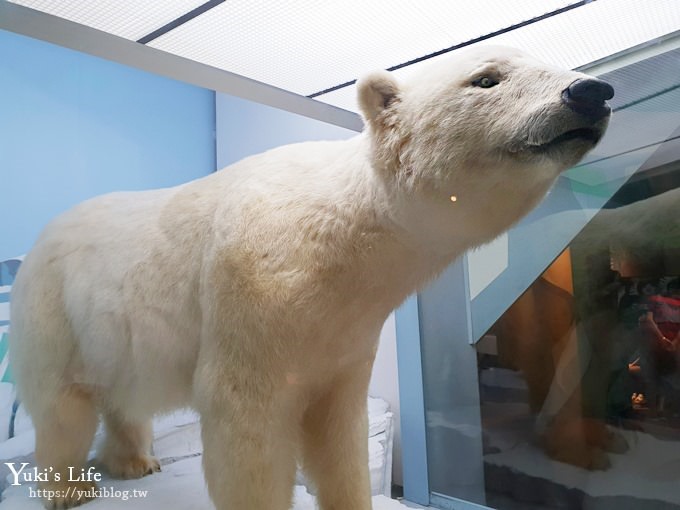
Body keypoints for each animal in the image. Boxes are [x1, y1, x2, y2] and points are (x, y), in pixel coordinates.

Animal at [7, 45, 612, 508]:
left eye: (546, 61)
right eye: (486, 78)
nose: (591, 91)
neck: (347, 242)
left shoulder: (347, 329)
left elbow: (337, 430)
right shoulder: (253, 292)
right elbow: (246, 422)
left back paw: (135, 461)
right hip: (53, 307)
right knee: (60, 404)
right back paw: (69, 488)